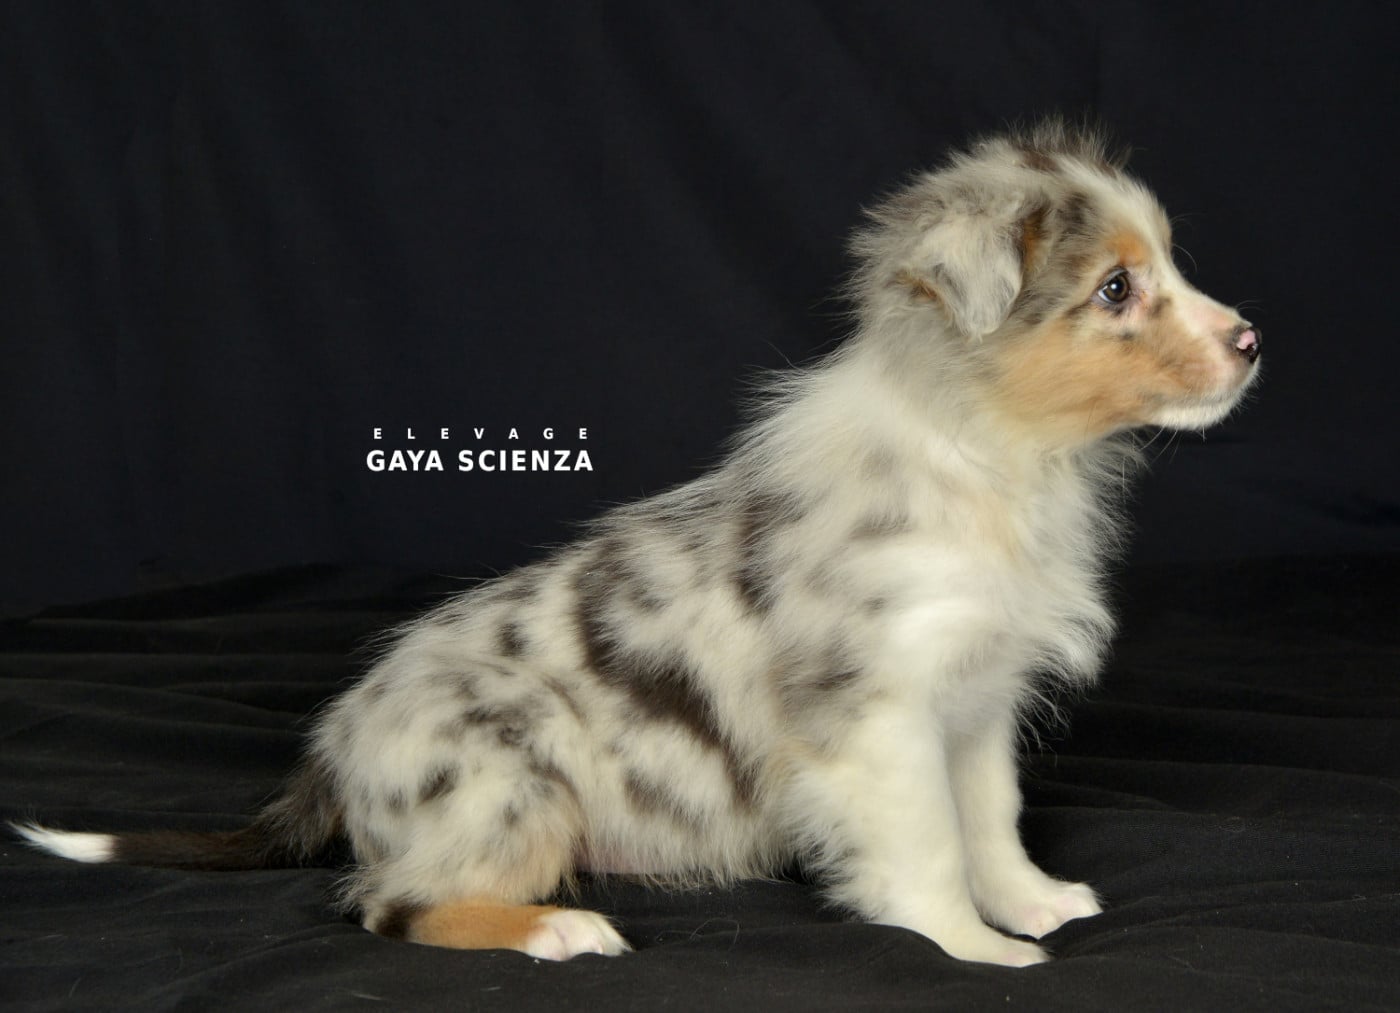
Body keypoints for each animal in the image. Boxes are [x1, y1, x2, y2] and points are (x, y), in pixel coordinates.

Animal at [16, 121, 1261, 967]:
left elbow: (987, 818)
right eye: (1114, 289)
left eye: (1164, 265)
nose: (1251, 340)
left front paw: (1030, 899)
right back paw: (559, 928)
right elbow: (926, 846)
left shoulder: (974, 695)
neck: (988, 451)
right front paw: (974, 947)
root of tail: (331, 753)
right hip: (513, 783)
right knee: (389, 903)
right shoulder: (874, 714)